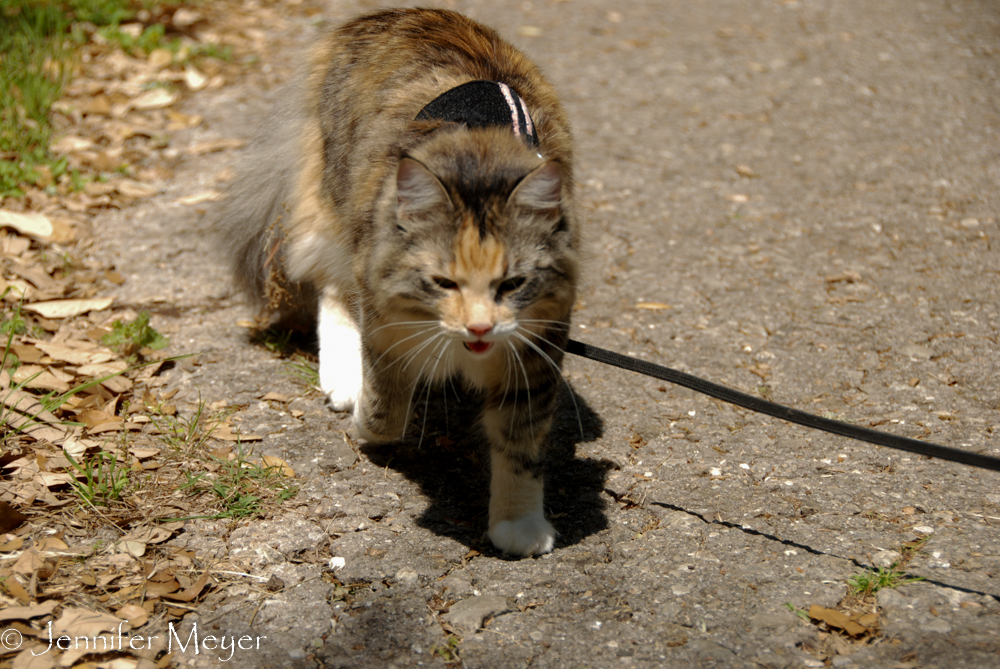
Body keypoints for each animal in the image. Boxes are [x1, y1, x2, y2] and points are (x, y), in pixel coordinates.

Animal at [218, 7, 580, 556]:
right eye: (443, 282)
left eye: (512, 284)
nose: (479, 328)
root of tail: (391, 13)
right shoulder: (386, 326)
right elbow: (386, 412)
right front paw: (363, 419)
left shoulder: (535, 350)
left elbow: (521, 446)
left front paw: (518, 525)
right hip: (334, 216)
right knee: (331, 291)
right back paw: (343, 379)